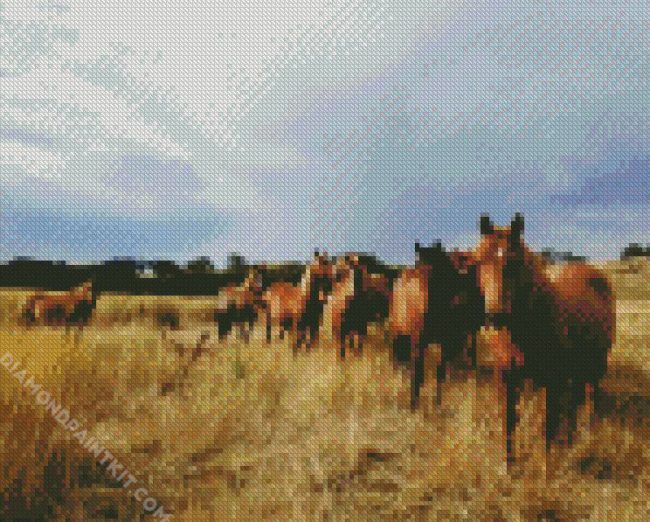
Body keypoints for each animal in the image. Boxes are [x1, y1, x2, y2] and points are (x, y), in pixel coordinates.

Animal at [384, 242, 480, 408]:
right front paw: (413, 404)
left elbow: (440, 372)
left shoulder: (446, 343)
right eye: (419, 264)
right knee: (398, 359)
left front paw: (437, 403)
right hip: (398, 334)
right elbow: (417, 372)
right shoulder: (418, 342)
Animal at [470, 211, 612, 460]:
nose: (495, 316)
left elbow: (548, 428)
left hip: (595, 366)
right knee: (574, 404)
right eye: (480, 262)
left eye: (515, 263)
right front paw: (509, 465)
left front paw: (547, 466)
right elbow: (509, 423)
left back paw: (588, 438)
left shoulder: (552, 381)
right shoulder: (507, 377)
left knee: (589, 399)